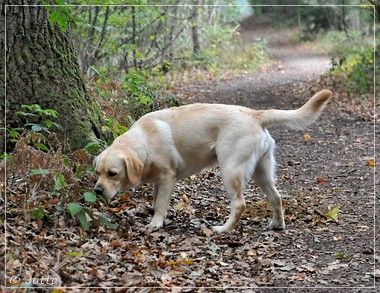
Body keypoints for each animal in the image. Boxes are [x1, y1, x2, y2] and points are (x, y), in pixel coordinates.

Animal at [93, 90, 332, 232]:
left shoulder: (168, 177)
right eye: (98, 173)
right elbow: (154, 199)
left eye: (112, 173)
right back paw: (277, 224)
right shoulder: (158, 181)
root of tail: (254, 114)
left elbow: (160, 203)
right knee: (277, 197)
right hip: (262, 171)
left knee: (240, 204)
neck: (144, 141)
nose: (96, 190)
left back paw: (224, 229)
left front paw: (156, 223)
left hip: (230, 170)